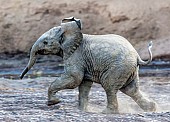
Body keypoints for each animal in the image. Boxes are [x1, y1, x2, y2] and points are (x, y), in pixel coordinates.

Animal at [20, 16, 157, 113]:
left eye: (45, 42)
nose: (21, 77)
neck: (70, 32)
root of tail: (137, 56)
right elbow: (84, 84)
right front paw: (82, 111)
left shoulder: (76, 55)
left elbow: (74, 79)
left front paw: (54, 103)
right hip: (129, 69)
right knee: (130, 89)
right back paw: (152, 109)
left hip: (119, 68)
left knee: (110, 87)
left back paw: (106, 112)